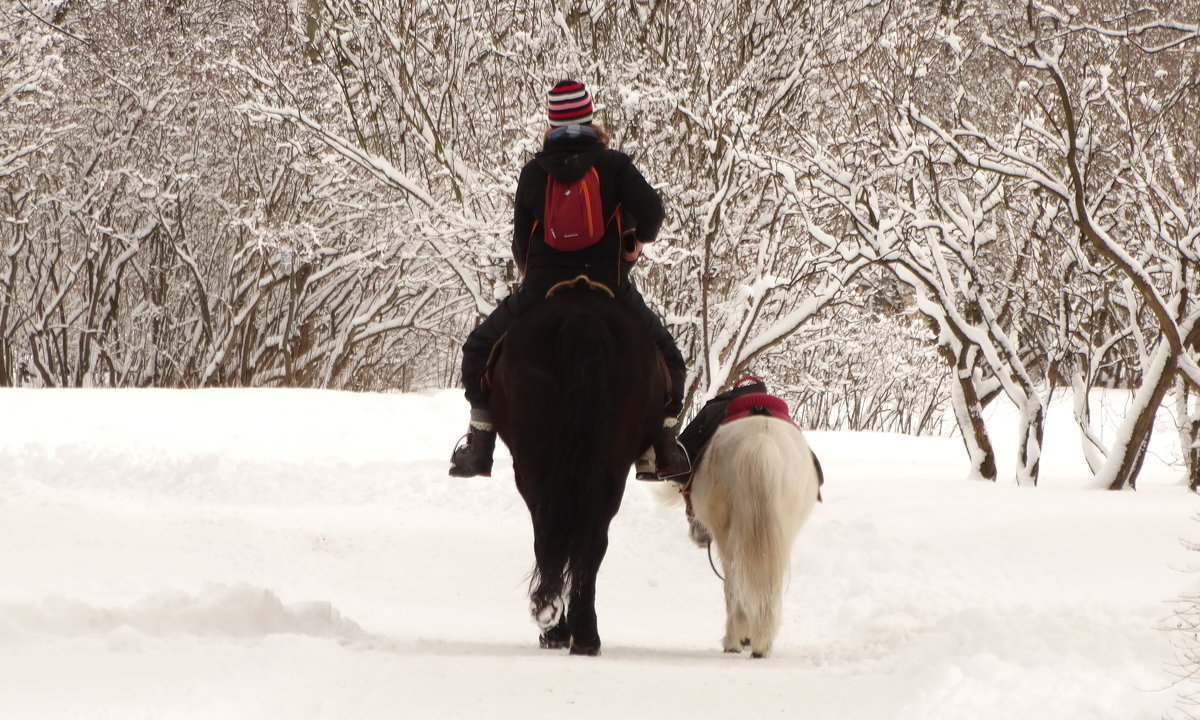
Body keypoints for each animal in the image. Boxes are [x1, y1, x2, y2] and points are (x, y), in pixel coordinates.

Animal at [489, 277, 676, 657]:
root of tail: (582, 320)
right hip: (609, 463)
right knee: (590, 538)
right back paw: (585, 634)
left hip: (534, 460)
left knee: (550, 529)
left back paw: (554, 623)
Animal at [691, 410, 820, 657]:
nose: (699, 536)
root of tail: (760, 444)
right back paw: (759, 641)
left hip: (727, 536)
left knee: (734, 583)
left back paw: (736, 640)